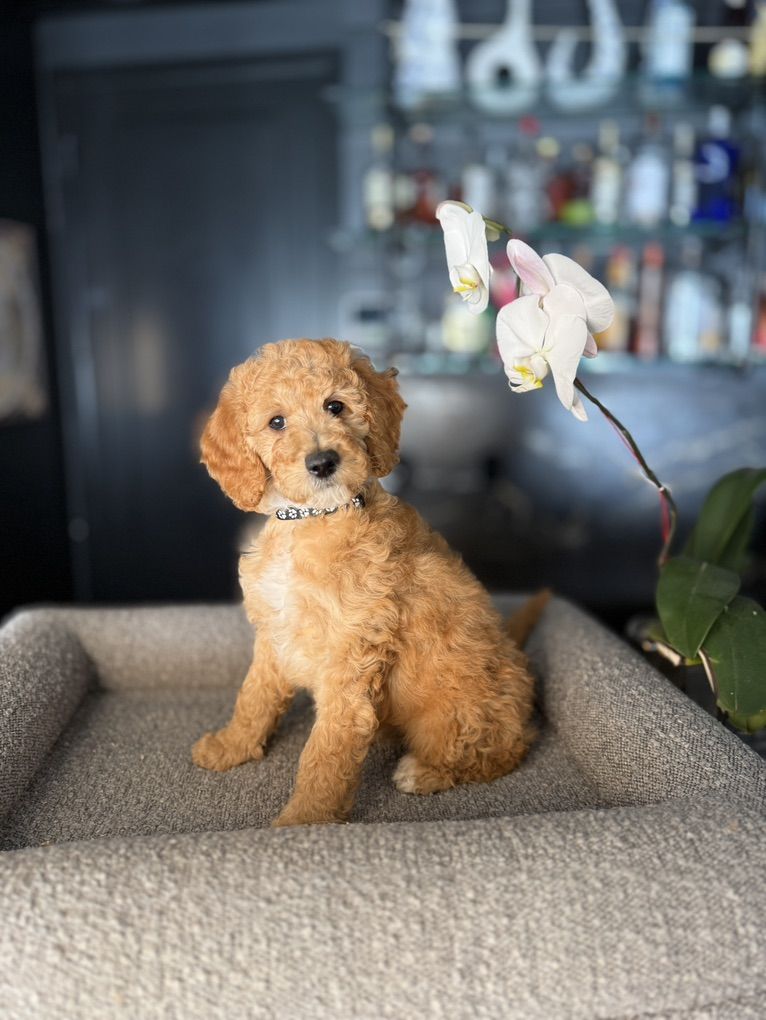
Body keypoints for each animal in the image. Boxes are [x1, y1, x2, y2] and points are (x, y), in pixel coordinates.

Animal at [192, 338, 547, 827]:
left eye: (335, 406)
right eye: (276, 422)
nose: (323, 462)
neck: (312, 517)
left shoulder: (351, 656)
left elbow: (327, 751)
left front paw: (304, 822)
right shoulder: (274, 635)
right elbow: (254, 696)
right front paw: (231, 747)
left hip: (454, 715)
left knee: (500, 751)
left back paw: (423, 772)